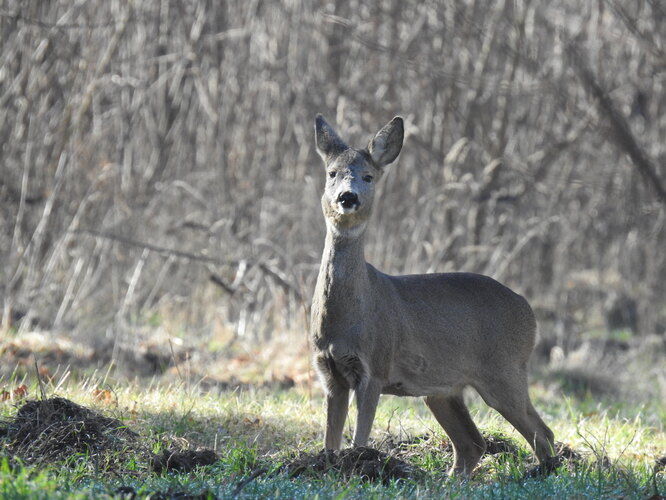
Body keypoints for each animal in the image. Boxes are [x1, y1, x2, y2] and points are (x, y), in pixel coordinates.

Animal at [310, 113, 556, 476]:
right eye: (332, 173)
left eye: (369, 176)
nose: (347, 197)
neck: (345, 321)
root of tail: (528, 310)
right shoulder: (330, 372)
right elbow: (331, 439)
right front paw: (326, 465)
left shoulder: (375, 366)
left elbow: (359, 437)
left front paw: (359, 465)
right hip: (443, 390)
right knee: (472, 443)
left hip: (505, 369)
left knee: (541, 431)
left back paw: (540, 472)